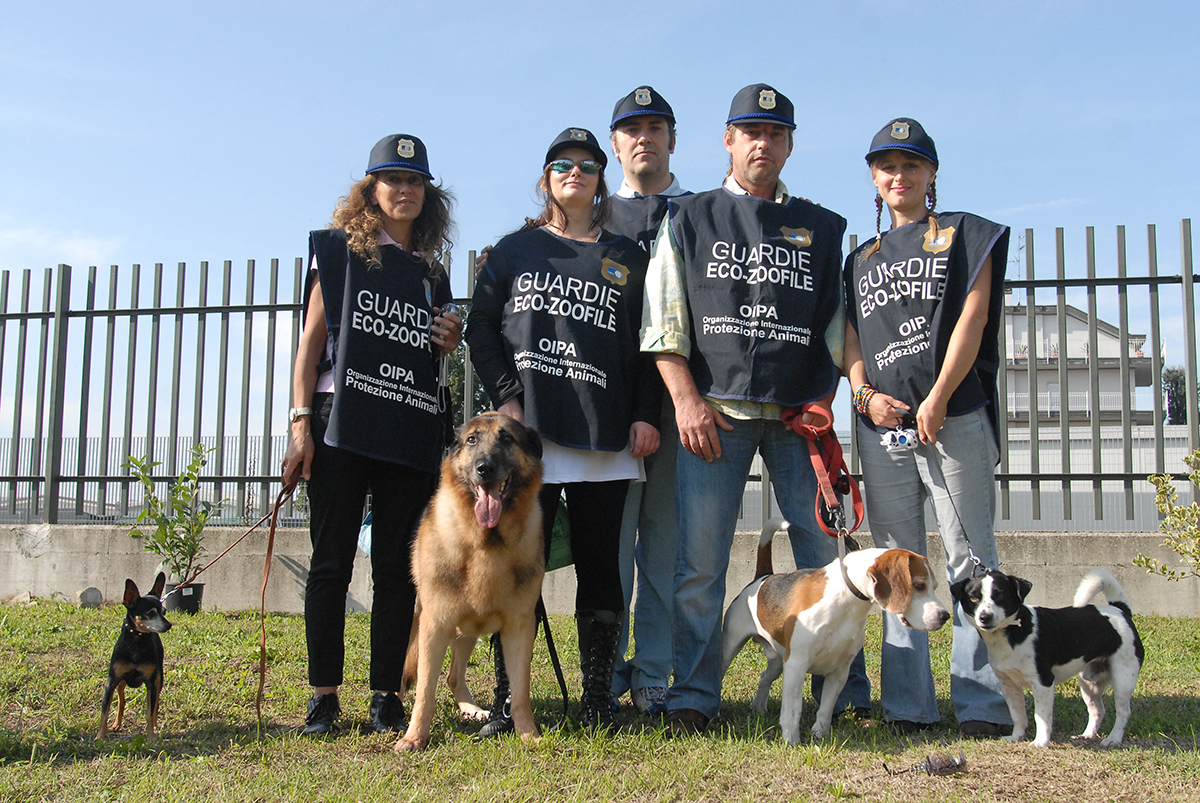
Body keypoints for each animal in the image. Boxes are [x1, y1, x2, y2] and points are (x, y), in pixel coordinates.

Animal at [98, 568, 172, 739]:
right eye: (150, 614)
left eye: (164, 612)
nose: (168, 625)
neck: (137, 643)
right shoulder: (111, 683)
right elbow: (104, 713)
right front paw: (99, 737)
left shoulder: (151, 684)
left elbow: (150, 712)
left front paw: (151, 737)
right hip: (121, 683)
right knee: (122, 700)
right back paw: (116, 724)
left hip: (158, 680)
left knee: (154, 705)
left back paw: (155, 725)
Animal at [393, 412, 544, 753]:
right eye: (472, 440)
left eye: (506, 438)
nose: (484, 468)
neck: (486, 544)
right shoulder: (435, 625)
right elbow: (424, 690)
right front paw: (414, 737)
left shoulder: (519, 628)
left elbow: (520, 690)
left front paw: (527, 733)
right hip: (422, 621)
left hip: (468, 630)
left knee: (453, 675)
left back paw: (472, 709)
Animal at [715, 520, 950, 739]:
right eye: (919, 586)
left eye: (935, 587)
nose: (945, 616)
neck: (847, 598)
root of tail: (763, 578)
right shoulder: (797, 664)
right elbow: (793, 709)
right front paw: (791, 739)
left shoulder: (840, 670)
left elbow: (827, 708)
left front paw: (820, 734)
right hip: (730, 648)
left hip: (778, 660)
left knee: (765, 676)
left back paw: (758, 707)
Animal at [950, 568, 1137, 744]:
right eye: (974, 598)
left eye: (1000, 595)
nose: (985, 617)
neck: (1013, 632)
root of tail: (1120, 609)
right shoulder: (1008, 685)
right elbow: (1018, 715)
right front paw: (1016, 737)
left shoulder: (1043, 682)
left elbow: (1041, 717)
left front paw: (1041, 742)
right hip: (1089, 682)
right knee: (1098, 710)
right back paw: (1088, 735)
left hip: (1123, 679)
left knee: (1124, 712)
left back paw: (1113, 738)